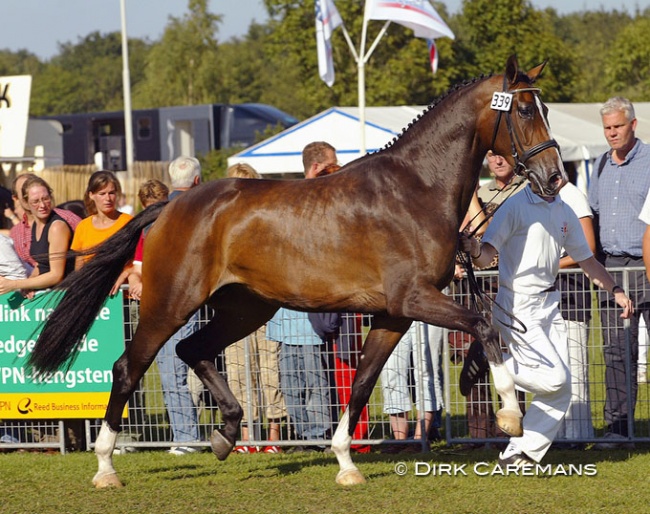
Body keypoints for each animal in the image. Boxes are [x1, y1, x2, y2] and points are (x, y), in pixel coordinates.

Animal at [29, 55, 566, 488]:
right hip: (170, 303)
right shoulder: (414, 299)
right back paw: (106, 466)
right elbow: (485, 325)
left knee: (192, 350)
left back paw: (227, 432)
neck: (415, 188)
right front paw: (511, 415)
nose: (555, 177)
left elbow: (364, 381)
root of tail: (169, 206)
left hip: (246, 309)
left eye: (544, 110)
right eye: (523, 111)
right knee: (129, 367)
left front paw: (346, 462)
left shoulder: (393, 315)